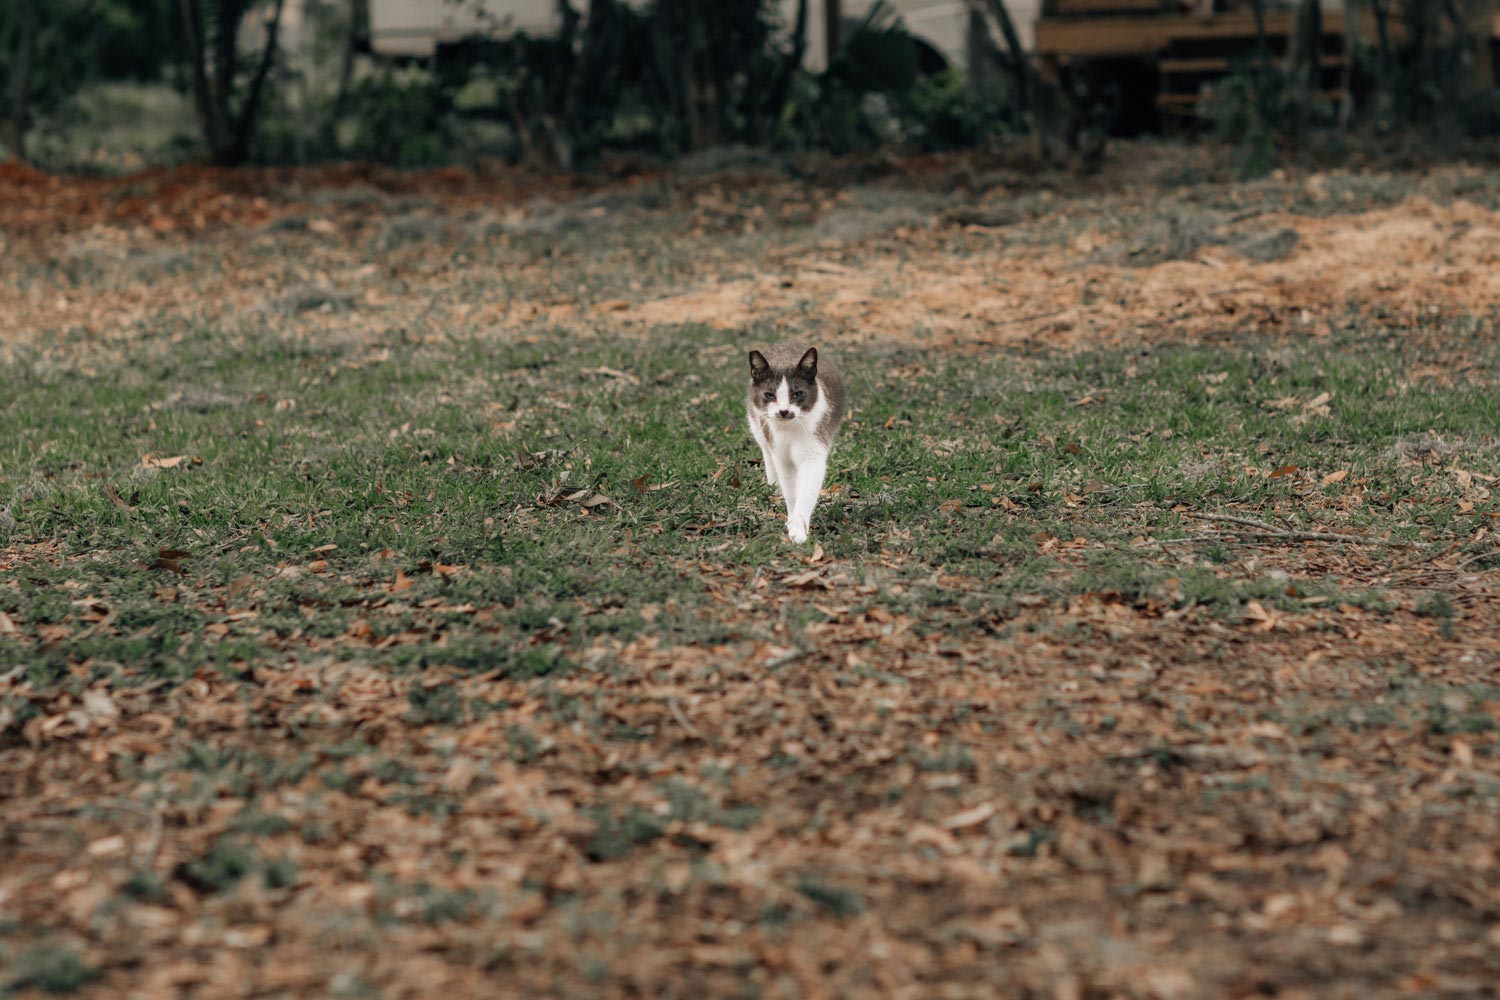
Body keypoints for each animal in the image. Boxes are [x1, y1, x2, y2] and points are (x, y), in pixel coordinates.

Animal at [747, 346, 846, 548]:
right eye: (770, 395)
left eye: (798, 394)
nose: (784, 411)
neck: (790, 430)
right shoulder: (782, 457)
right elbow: (790, 491)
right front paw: (792, 521)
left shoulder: (813, 454)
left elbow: (806, 491)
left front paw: (799, 530)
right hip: (757, 425)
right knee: (767, 452)